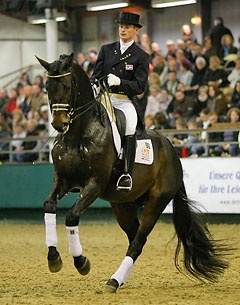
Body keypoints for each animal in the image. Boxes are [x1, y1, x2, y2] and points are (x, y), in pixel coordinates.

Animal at [36, 53, 230, 290]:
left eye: (66, 85)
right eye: (47, 87)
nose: (58, 123)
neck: (78, 134)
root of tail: (172, 152)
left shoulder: (95, 183)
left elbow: (72, 216)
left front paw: (81, 262)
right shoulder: (64, 180)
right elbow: (48, 206)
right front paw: (53, 258)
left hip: (156, 202)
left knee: (138, 240)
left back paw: (114, 280)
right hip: (123, 205)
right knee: (133, 237)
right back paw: (119, 280)